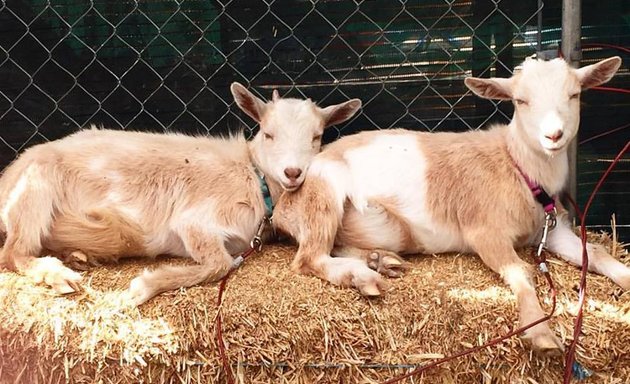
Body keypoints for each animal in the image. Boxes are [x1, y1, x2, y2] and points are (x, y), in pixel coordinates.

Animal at [0, 84, 362, 306]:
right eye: (268, 134)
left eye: (317, 136)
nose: (292, 172)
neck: (253, 176)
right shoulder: (195, 220)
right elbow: (219, 264)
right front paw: (142, 287)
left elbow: (222, 262)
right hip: (33, 188)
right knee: (14, 252)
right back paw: (59, 275)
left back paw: (78, 256)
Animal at [274, 56, 628, 354]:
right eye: (520, 100)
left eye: (574, 94)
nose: (553, 135)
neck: (516, 166)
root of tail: (282, 210)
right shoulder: (484, 231)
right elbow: (520, 270)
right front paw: (540, 332)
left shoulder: (550, 230)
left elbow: (595, 252)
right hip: (325, 193)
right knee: (309, 257)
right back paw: (362, 276)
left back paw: (380, 260)